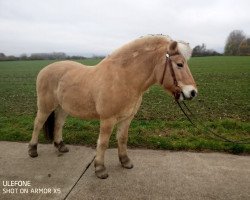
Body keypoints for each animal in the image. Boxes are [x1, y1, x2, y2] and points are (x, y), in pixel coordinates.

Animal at [28, 34, 197, 178]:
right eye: (179, 64)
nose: (193, 92)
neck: (123, 78)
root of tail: (44, 69)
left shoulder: (127, 118)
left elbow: (122, 138)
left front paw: (125, 161)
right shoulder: (107, 119)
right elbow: (103, 143)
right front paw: (100, 169)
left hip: (63, 108)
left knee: (58, 124)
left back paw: (60, 146)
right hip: (45, 107)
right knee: (38, 124)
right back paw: (33, 150)